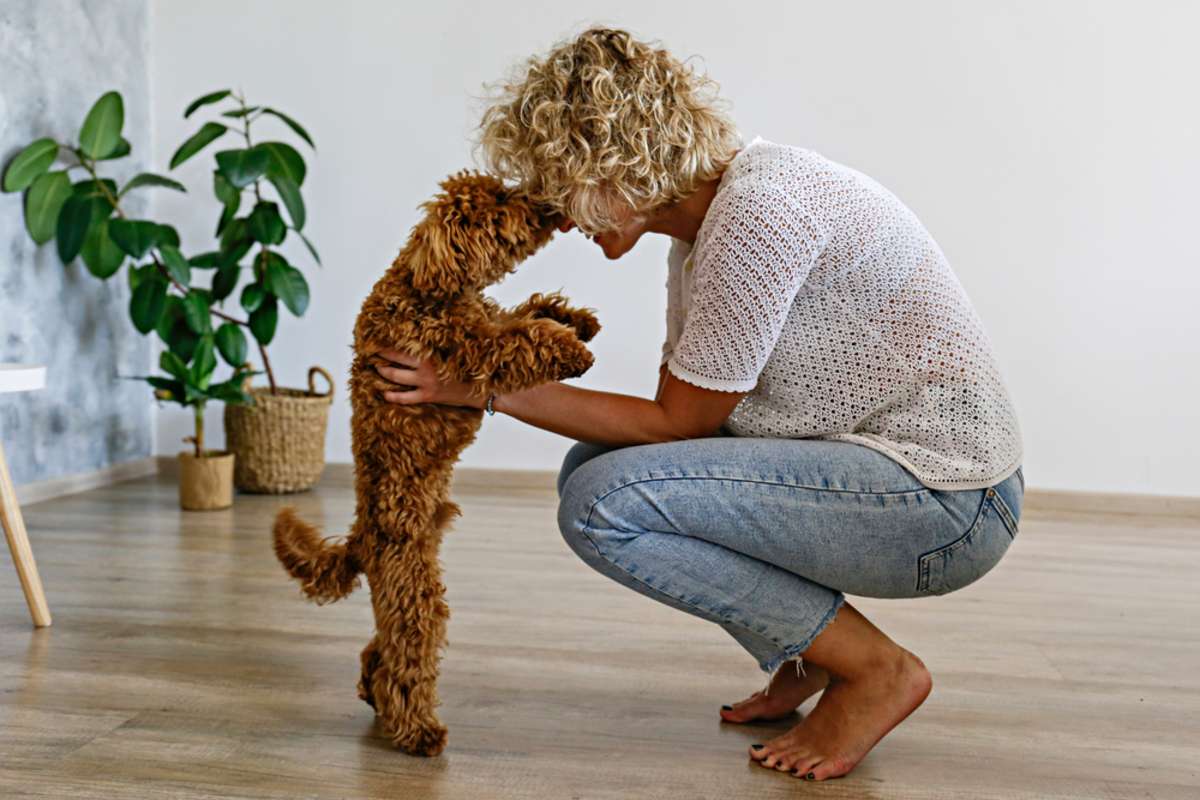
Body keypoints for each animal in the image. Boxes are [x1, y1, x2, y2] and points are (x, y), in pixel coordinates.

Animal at [276, 170, 604, 758]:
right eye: (500, 204)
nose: (539, 201)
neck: (426, 285)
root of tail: (361, 539)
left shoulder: (486, 314)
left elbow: (525, 310)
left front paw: (576, 319)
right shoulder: (463, 351)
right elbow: (519, 339)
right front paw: (571, 349)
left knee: (379, 650)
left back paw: (371, 690)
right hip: (414, 590)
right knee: (407, 660)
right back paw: (417, 731)